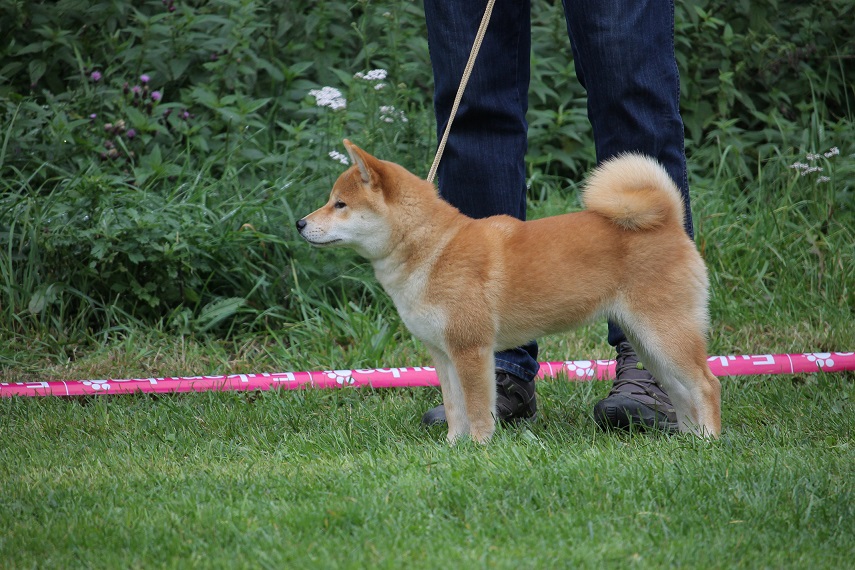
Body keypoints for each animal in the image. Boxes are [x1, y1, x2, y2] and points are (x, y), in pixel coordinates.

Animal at [298, 140, 720, 442]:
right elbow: (455, 409)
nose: (300, 223)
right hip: (650, 343)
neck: (432, 248)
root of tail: (669, 222)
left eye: (340, 204)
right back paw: (689, 439)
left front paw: (479, 448)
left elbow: (477, 408)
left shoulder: (470, 349)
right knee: (681, 391)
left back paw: (709, 442)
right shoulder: (444, 355)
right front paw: (452, 447)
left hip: (664, 333)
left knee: (707, 383)